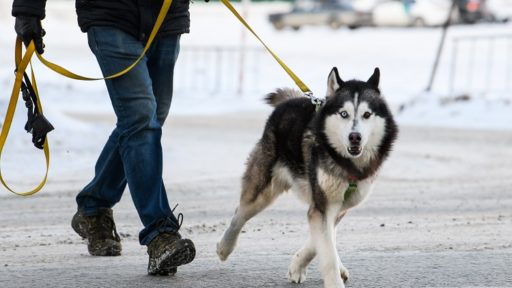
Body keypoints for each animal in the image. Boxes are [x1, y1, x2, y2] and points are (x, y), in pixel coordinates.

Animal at [216, 68, 400, 288]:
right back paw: (224, 247)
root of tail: (292, 100)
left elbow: (321, 242)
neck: (347, 163)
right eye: (344, 114)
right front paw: (331, 279)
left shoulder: (337, 205)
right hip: (263, 190)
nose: (355, 137)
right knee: (240, 213)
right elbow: (326, 251)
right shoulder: (323, 205)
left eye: (367, 115)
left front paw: (298, 267)